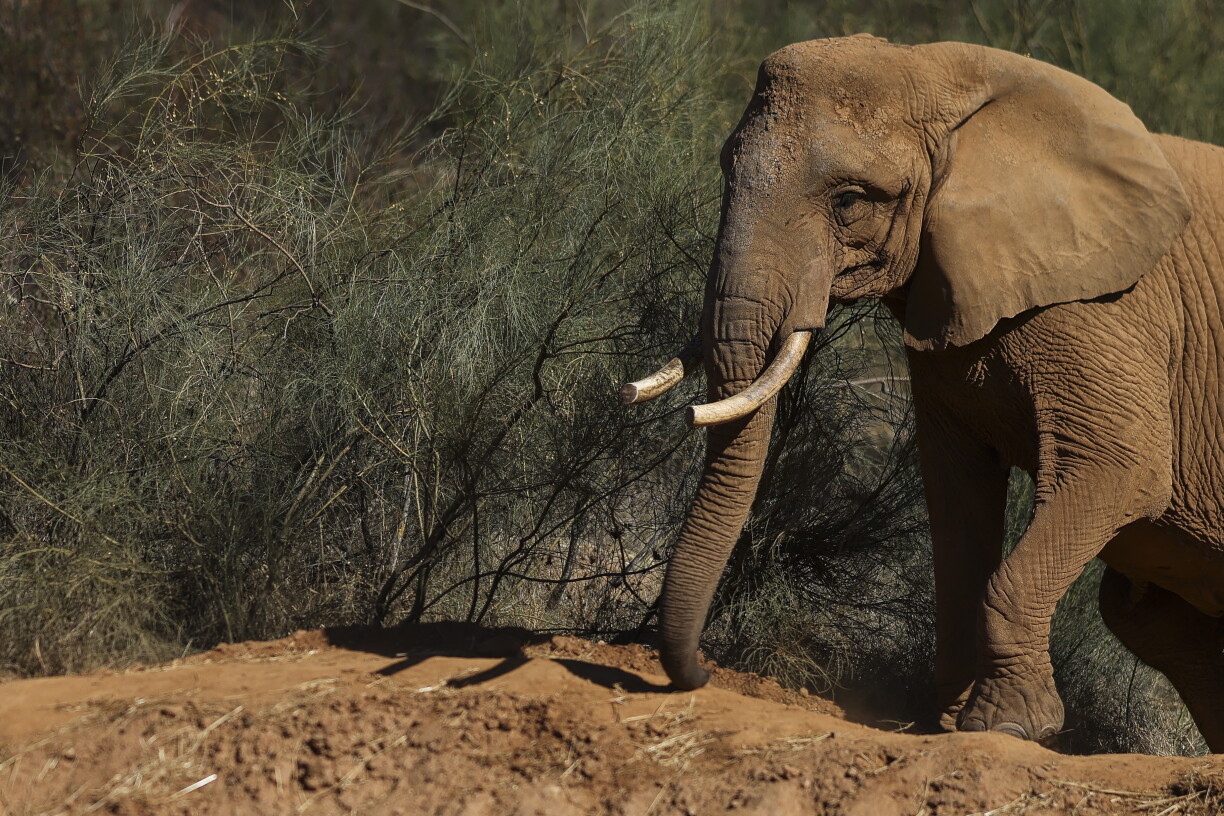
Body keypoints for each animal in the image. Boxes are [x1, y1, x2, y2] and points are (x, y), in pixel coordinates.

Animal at [621, 34, 1224, 750]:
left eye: (850, 202)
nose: (699, 675)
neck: (943, 73)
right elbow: (957, 498)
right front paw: (946, 721)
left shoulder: (1104, 307)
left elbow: (1123, 466)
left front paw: (1009, 727)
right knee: (1152, 622)